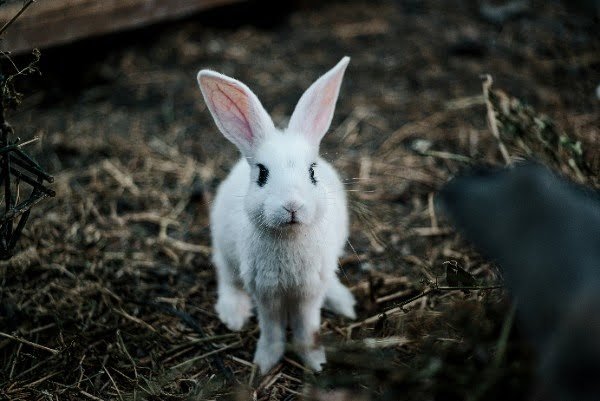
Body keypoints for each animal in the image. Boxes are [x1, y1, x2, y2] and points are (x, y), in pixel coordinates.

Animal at [197, 57, 356, 374]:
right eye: (262, 173)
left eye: (312, 171)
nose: (292, 205)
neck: (290, 236)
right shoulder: (265, 292)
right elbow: (271, 328)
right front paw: (265, 363)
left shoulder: (308, 293)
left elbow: (307, 326)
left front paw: (315, 361)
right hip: (225, 252)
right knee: (227, 278)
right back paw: (234, 314)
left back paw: (343, 302)